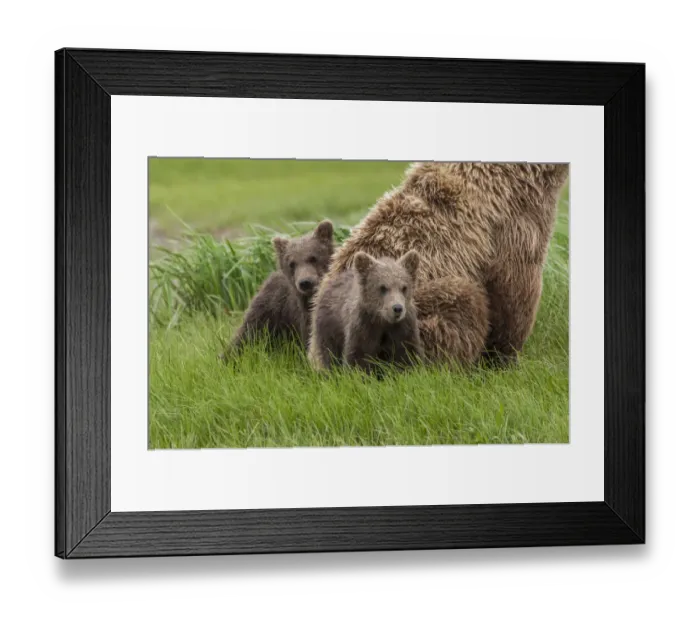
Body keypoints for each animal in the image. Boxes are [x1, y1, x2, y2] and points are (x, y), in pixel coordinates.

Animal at [219, 220, 334, 361]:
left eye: (313, 258)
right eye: (292, 264)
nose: (305, 283)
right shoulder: (300, 314)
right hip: (268, 310)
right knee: (247, 334)